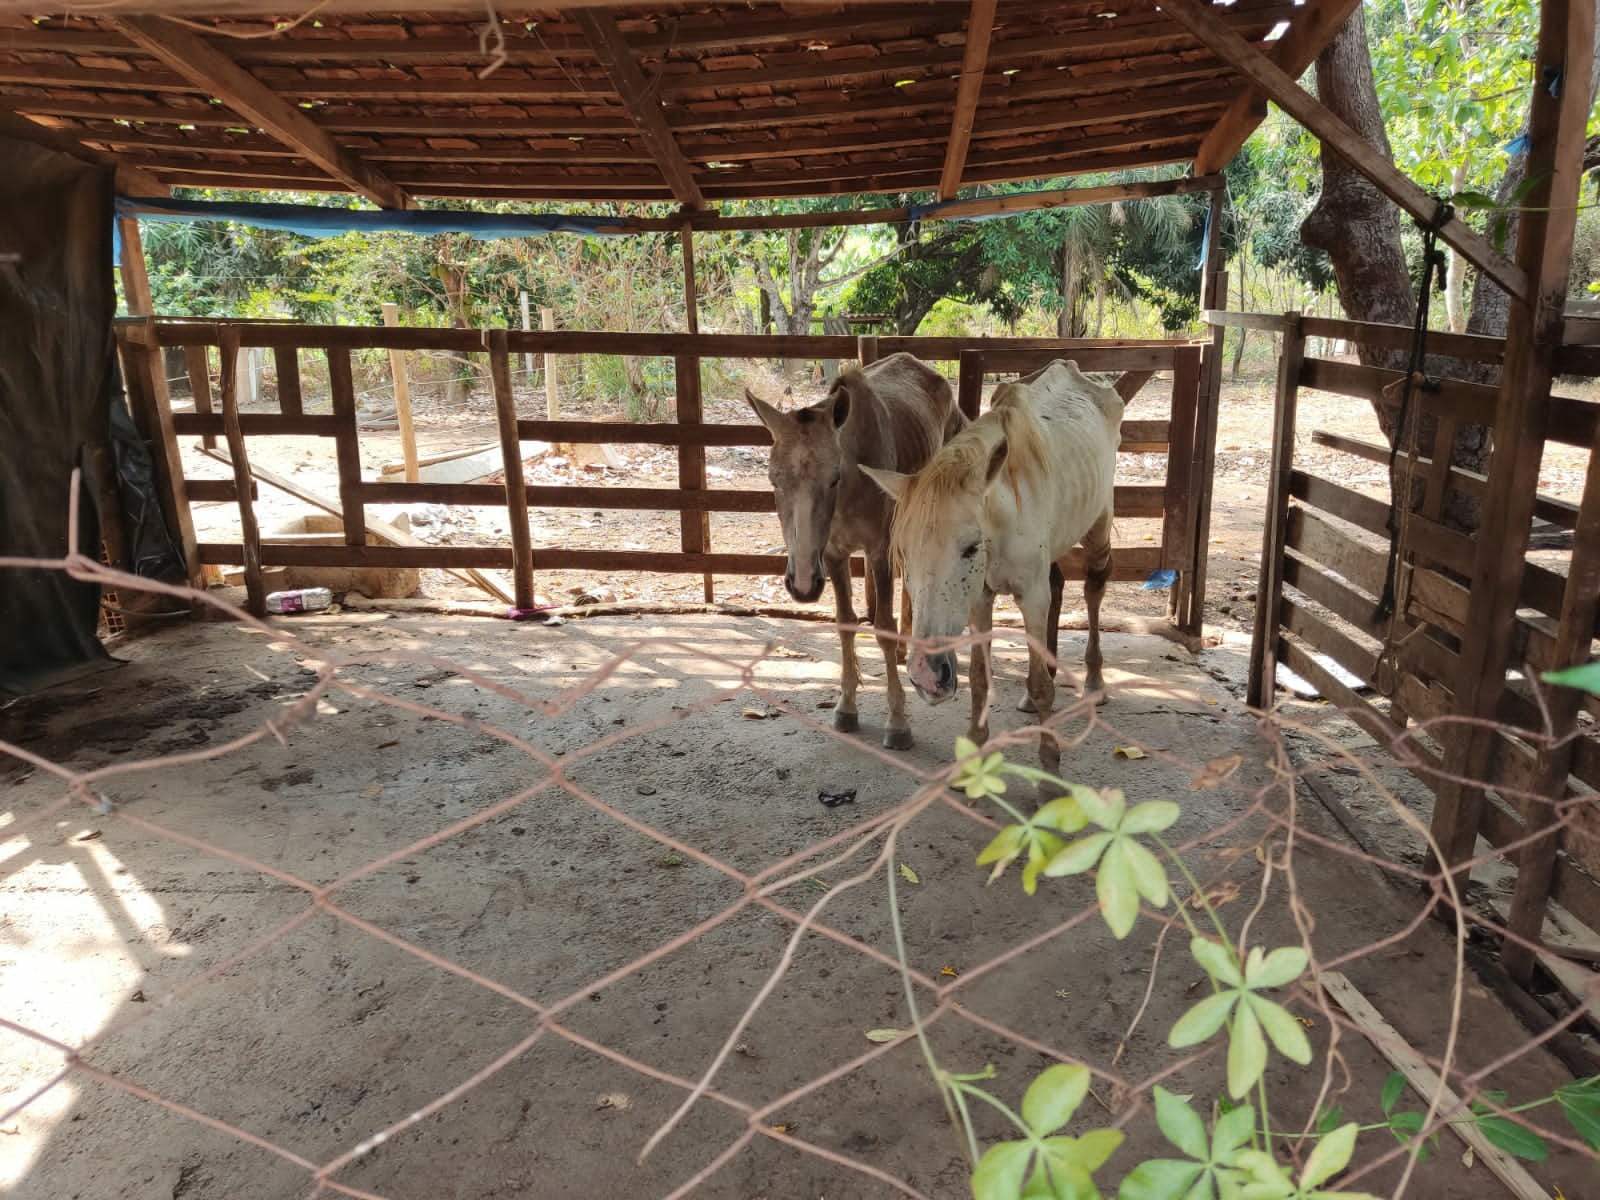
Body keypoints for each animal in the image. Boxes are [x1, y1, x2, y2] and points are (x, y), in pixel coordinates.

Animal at [746, 352, 964, 750]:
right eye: (773, 479)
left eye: (834, 477)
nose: (803, 584)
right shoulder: (834, 555)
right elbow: (846, 624)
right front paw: (846, 707)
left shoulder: (878, 550)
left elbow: (882, 626)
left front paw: (898, 722)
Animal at [862, 359, 1120, 775]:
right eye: (904, 554)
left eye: (970, 547)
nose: (926, 675)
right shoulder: (979, 599)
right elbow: (981, 680)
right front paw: (974, 759)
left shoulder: (1030, 597)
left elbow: (1041, 686)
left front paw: (1050, 769)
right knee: (1059, 584)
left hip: (1099, 527)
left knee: (1094, 589)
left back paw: (1096, 683)